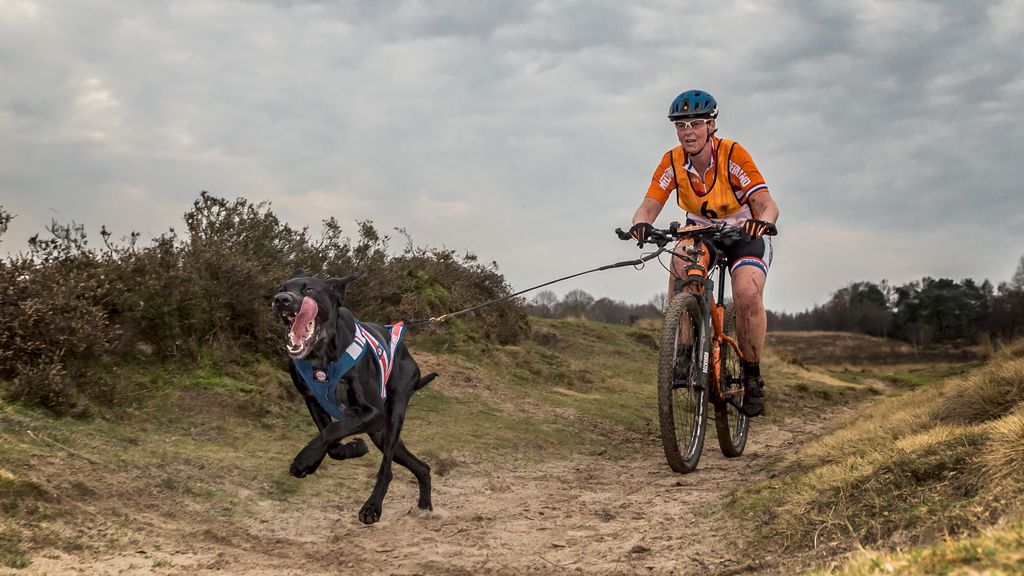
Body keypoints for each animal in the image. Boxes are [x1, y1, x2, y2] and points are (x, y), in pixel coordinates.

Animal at [272, 266, 436, 522]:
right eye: (282, 288)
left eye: (309, 290)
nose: (281, 300)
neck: (322, 357)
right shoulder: (312, 401)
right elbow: (330, 439)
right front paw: (350, 450)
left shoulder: (374, 413)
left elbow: (332, 430)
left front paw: (303, 460)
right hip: (380, 433)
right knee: (421, 466)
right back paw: (425, 504)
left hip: (393, 416)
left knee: (387, 468)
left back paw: (373, 506)